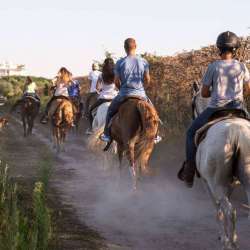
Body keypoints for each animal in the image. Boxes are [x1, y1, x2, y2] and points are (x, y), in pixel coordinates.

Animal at [191, 83, 250, 250]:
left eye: (192, 105)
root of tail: (235, 132)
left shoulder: (207, 184)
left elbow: (218, 210)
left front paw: (224, 238)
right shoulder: (230, 184)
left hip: (216, 184)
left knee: (230, 211)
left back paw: (231, 242)